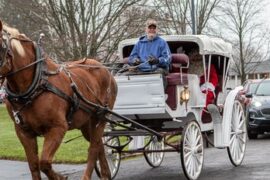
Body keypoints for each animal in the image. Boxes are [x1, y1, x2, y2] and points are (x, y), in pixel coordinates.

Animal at [0, 19, 117, 179]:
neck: (36, 84)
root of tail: (105, 69)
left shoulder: (58, 127)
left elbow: (44, 162)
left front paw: (60, 177)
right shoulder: (24, 132)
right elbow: (34, 165)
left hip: (101, 116)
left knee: (93, 147)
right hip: (86, 122)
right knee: (99, 144)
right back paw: (106, 173)